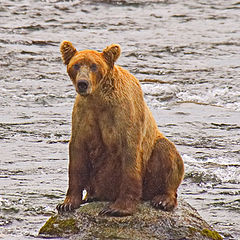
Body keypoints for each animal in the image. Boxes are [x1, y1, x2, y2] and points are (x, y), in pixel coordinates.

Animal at [56, 40, 184, 217]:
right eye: (76, 65)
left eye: (94, 66)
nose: (83, 83)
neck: (98, 99)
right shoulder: (83, 115)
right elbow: (77, 153)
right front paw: (66, 203)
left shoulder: (124, 115)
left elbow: (130, 157)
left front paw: (117, 208)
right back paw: (92, 196)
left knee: (167, 152)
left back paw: (163, 199)